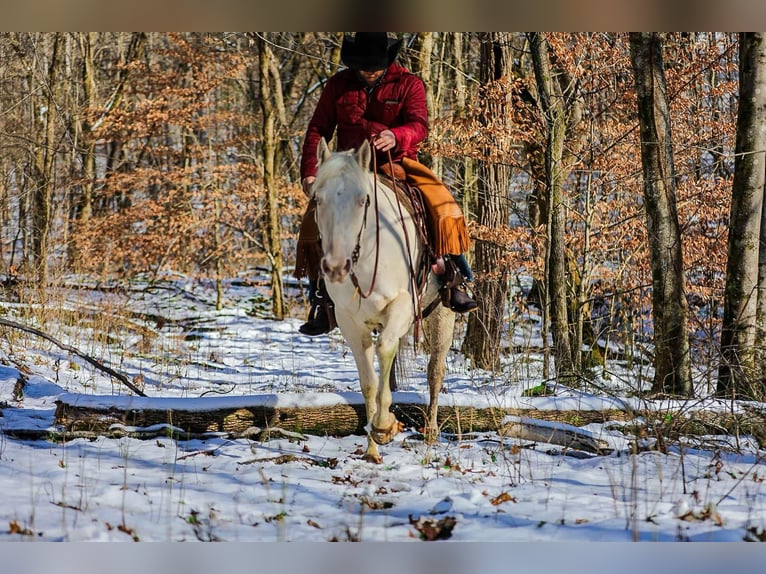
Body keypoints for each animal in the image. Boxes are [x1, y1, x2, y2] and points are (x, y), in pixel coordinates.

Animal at [312, 137, 456, 466]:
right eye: (318, 200)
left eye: (362, 200)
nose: (335, 267)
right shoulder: (350, 323)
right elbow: (369, 383)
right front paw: (372, 448)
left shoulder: (403, 307)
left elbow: (387, 350)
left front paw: (383, 426)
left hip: (443, 316)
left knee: (435, 372)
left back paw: (430, 431)